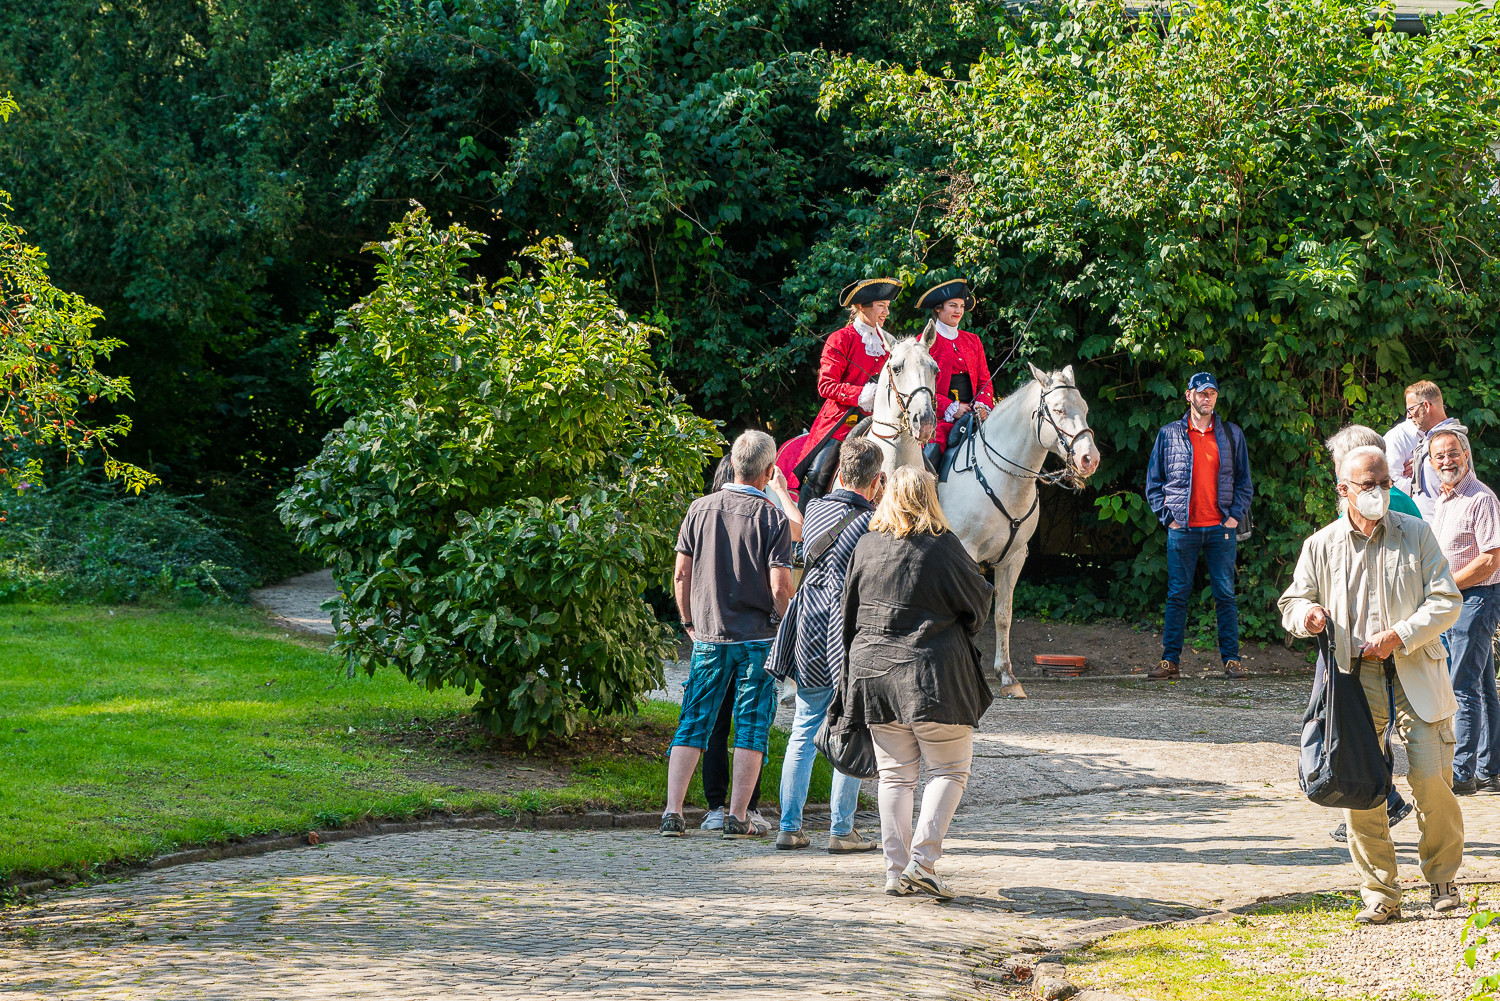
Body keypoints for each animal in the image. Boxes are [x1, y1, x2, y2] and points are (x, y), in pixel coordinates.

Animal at [936, 364, 1104, 702]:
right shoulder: (965, 552)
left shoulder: (1013, 558)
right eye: (1058, 409)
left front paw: (1007, 676)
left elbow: (1003, 614)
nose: (1089, 459)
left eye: (1085, 409)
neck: (1002, 479)